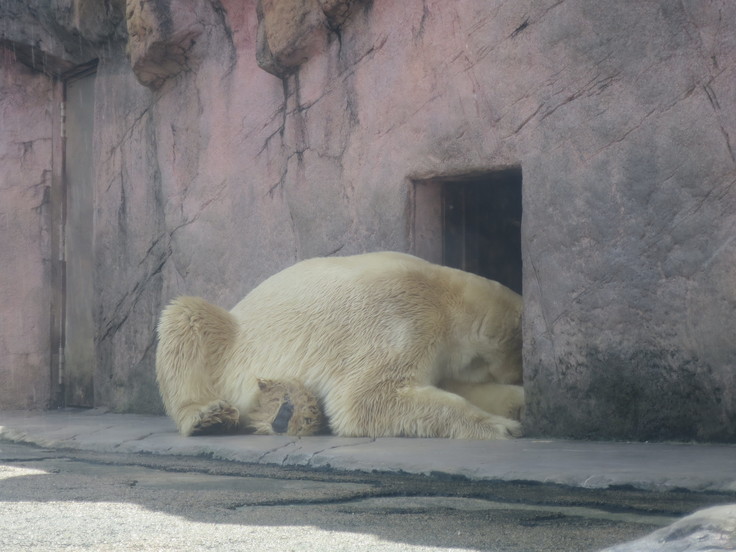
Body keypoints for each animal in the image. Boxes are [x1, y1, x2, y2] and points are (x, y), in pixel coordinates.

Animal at [154, 251, 524, 440]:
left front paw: (518, 406)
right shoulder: (401, 320)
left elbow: (458, 386)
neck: (448, 300)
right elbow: (368, 398)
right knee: (187, 317)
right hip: (230, 336)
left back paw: (291, 409)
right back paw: (208, 415)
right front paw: (500, 427)